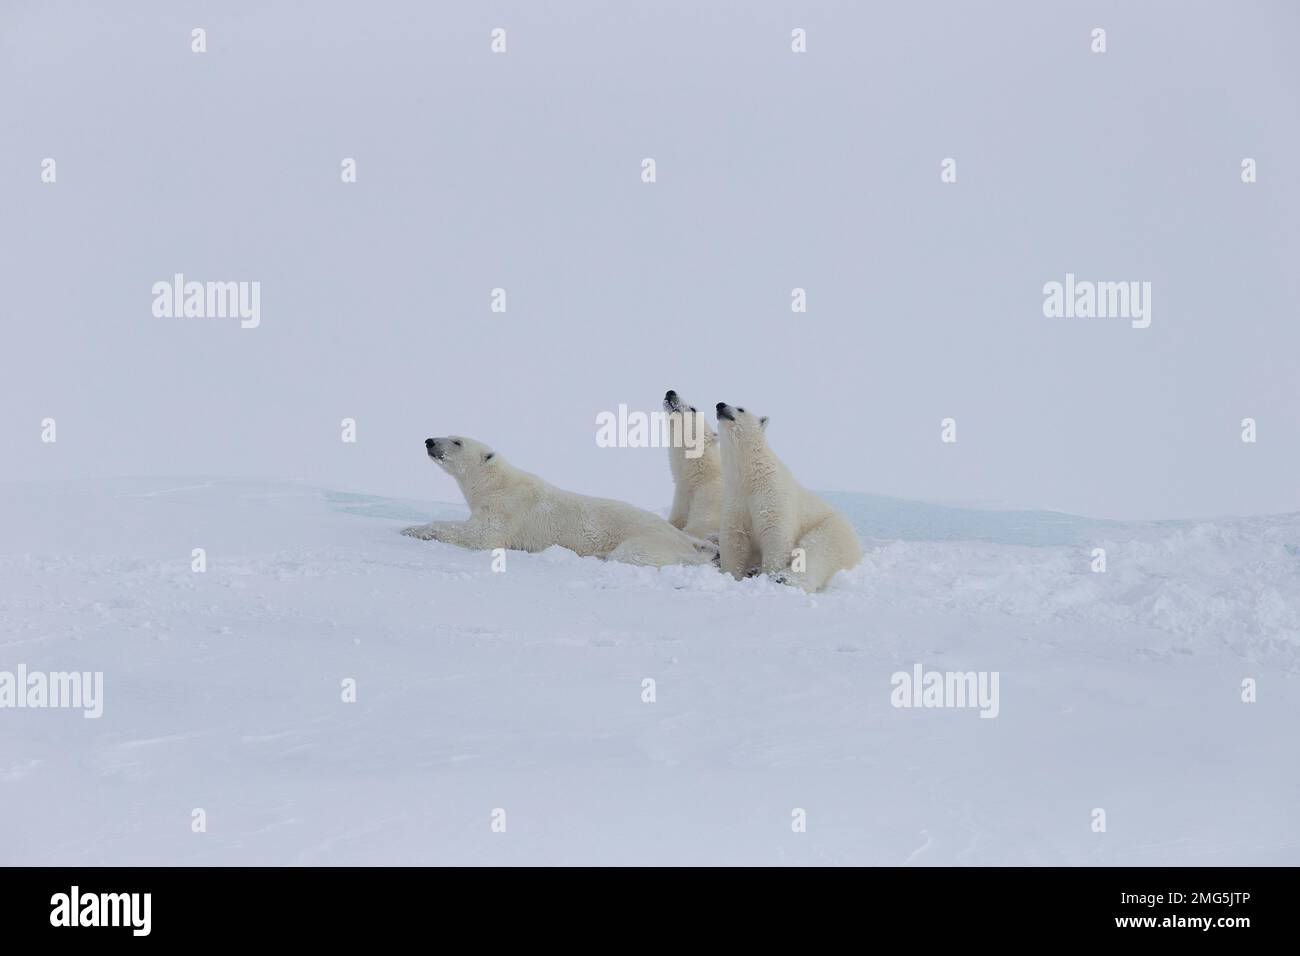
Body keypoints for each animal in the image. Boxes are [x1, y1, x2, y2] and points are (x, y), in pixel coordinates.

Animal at [400, 434, 717, 567]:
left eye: (457, 441)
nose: (430, 441)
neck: (495, 483)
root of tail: (683, 539)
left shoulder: (508, 507)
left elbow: (480, 535)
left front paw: (412, 529)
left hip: (647, 539)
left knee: (630, 555)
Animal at [665, 390, 728, 546]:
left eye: (693, 409)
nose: (670, 392)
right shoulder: (682, 496)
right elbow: (676, 521)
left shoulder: (711, 499)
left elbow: (696, 530)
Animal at [717, 395, 857, 590]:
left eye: (740, 409)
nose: (720, 405)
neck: (750, 478)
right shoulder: (735, 498)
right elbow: (734, 537)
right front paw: (730, 575)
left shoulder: (772, 494)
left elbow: (776, 534)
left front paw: (768, 574)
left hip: (832, 529)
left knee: (817, 550)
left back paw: (785, 578)